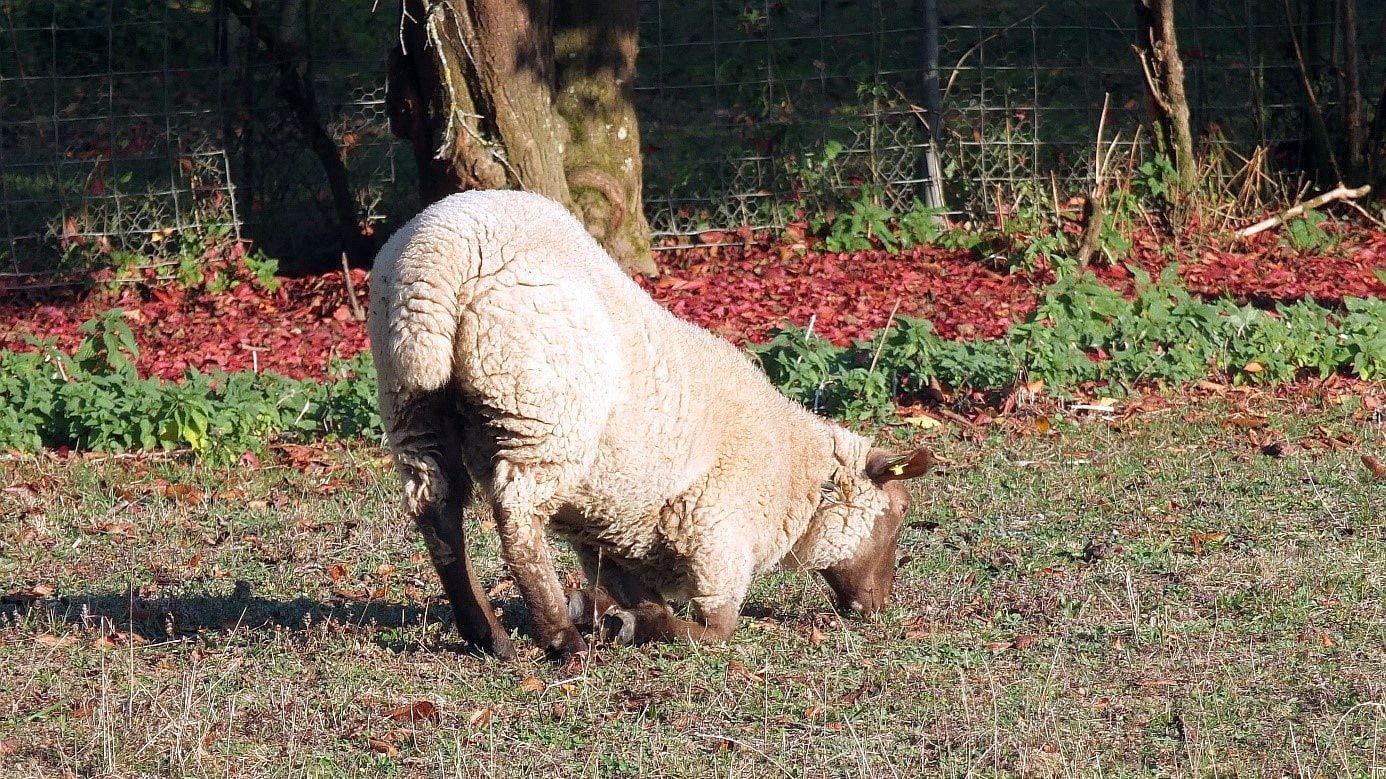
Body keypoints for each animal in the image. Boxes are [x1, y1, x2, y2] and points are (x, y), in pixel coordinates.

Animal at [368, 188, 936, 654]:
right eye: (902, 512)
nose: (878, 608)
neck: (793, 478)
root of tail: (440, 254)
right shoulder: (719, 542)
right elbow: (714, 629)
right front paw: (626, 625)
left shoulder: (610, 530)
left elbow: (633, 590)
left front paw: (606, 612)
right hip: (540, 414)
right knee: (517, 516)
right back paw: (561, 639)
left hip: (411, 397)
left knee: (437, 509)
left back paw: (488, 633)